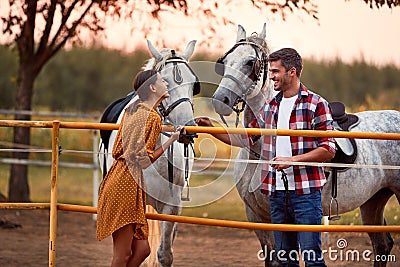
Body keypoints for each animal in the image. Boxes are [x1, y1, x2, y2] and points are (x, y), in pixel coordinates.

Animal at [211, 23, 398, 267]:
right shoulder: (257, 216)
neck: (259, 153)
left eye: (250, 62)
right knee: (382, 245)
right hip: (373, 200)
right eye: (224, 62)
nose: (220, 100)